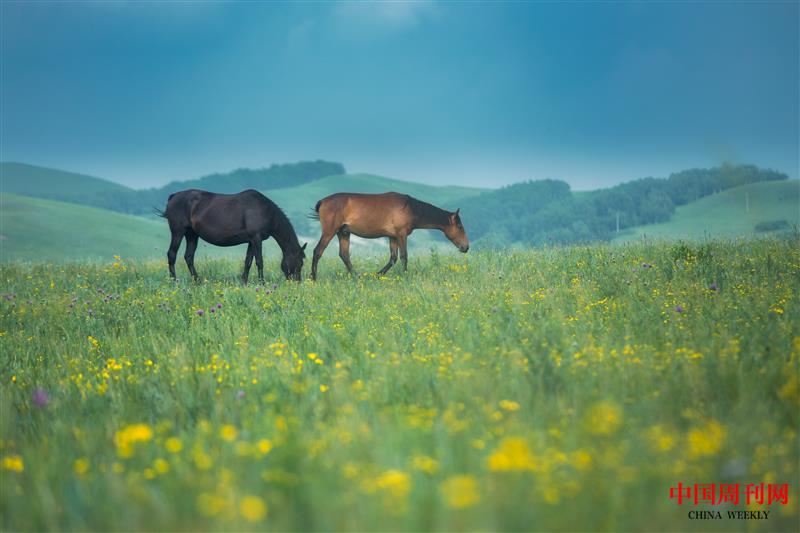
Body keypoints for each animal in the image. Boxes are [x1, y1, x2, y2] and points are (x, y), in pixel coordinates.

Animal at [157, 189, 306, 283]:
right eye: (300, 262)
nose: (297, 282)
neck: (265, 211)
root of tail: (173, 196)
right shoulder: (257, 239)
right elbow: (259, 261)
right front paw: (262, 283)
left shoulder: (251, 241)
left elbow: (248, 262)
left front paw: (244, 282)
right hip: (178, 232)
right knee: (172, 254)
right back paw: (174, 281)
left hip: (192, 235)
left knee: (188, 257)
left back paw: (197, 281)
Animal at [309, 192, 468, 280]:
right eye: (460, 227)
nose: (466, 247)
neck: (410, 207)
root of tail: (323, 201)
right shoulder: (401, 235)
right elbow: (404, 256)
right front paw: (405, 276)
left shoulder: (393, 237)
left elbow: (393, 258)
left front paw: (377, 275)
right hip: (329, 232)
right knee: (318, 251)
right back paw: (313, 278)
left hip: (343, 233)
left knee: (344, 255)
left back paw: (357, 276)